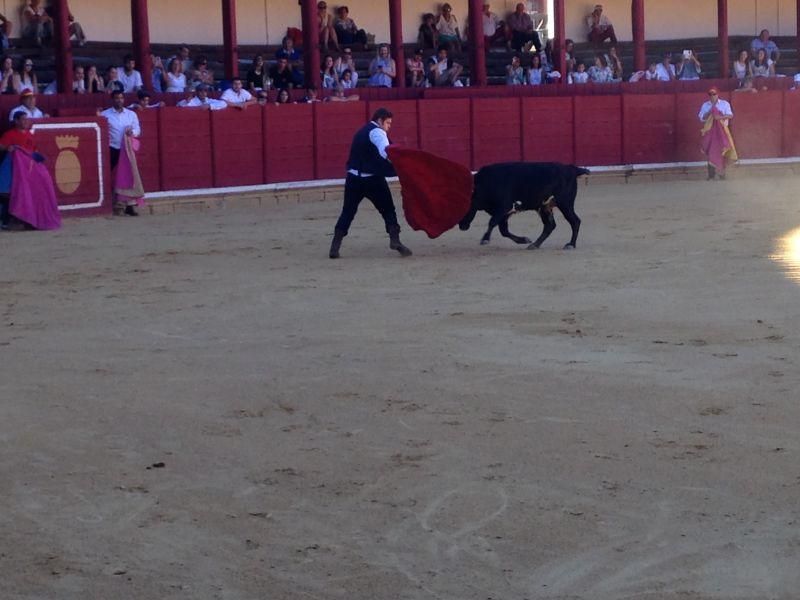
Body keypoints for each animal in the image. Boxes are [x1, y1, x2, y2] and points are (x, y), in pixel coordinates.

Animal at [460, 162, 592, 248]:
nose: (461, 226)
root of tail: (571, 169)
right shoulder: (504, 214)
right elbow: (504, 231)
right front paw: (524, 240)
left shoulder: (504, 207)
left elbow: (492, 222)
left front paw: (485, 239)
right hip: (544, 207)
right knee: (550, 225)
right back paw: (535, 245)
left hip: (565, 204)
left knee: (575, 221)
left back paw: (571, 245)